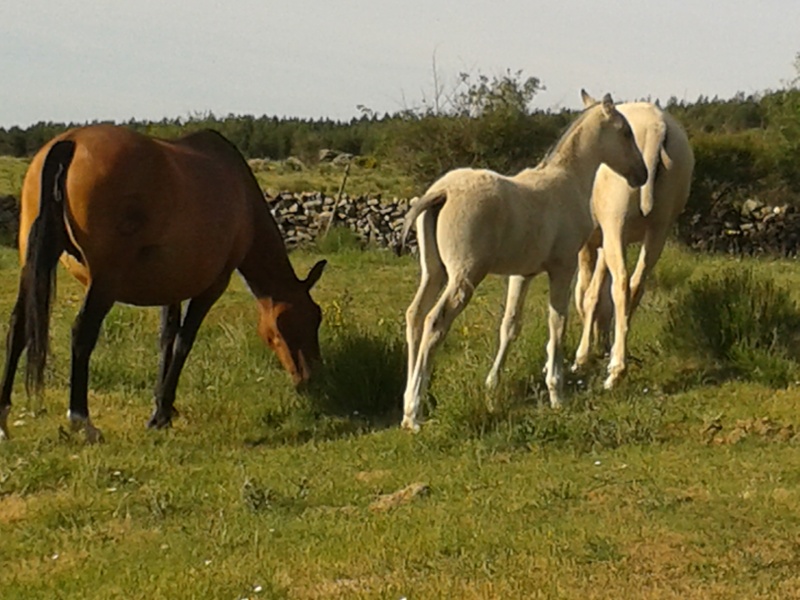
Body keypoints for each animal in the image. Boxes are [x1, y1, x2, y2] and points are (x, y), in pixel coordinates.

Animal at [0, 124, 324, 440]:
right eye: (293, 323)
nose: (311, 379)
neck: (242, 195)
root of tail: (71, 142)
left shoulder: (172, 285)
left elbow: (167, 337)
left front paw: (160, 405)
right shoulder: (213, 286)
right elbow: (183, 342)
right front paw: (162, 413)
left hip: (33, 265)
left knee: (18, 328)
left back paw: (3, 420)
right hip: (105, 280)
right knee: (82, 333)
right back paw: (83, 422)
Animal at [400, 92, 648, 432]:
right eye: (625, 132)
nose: (642, 174)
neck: (567, 181)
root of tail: (442, 191)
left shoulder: (522, 274)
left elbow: (510, 325)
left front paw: (492, 386)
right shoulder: (562, 268)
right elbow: (557, 322)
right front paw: (556, 393)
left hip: (433, 272)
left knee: (414, 315)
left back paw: (409, 411)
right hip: (464, 276)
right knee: (433, 322)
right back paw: (414, 413)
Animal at [568, 90, 692, 390]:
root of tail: (657, 125)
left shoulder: (592, 244)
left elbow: (587, 293)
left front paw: (582, 357)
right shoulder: (608, 242)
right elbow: (599, 294)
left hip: (617, 225)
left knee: (622, 285)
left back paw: (615, 371)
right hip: (659, 229)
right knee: (635, 286)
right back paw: (616, 357)